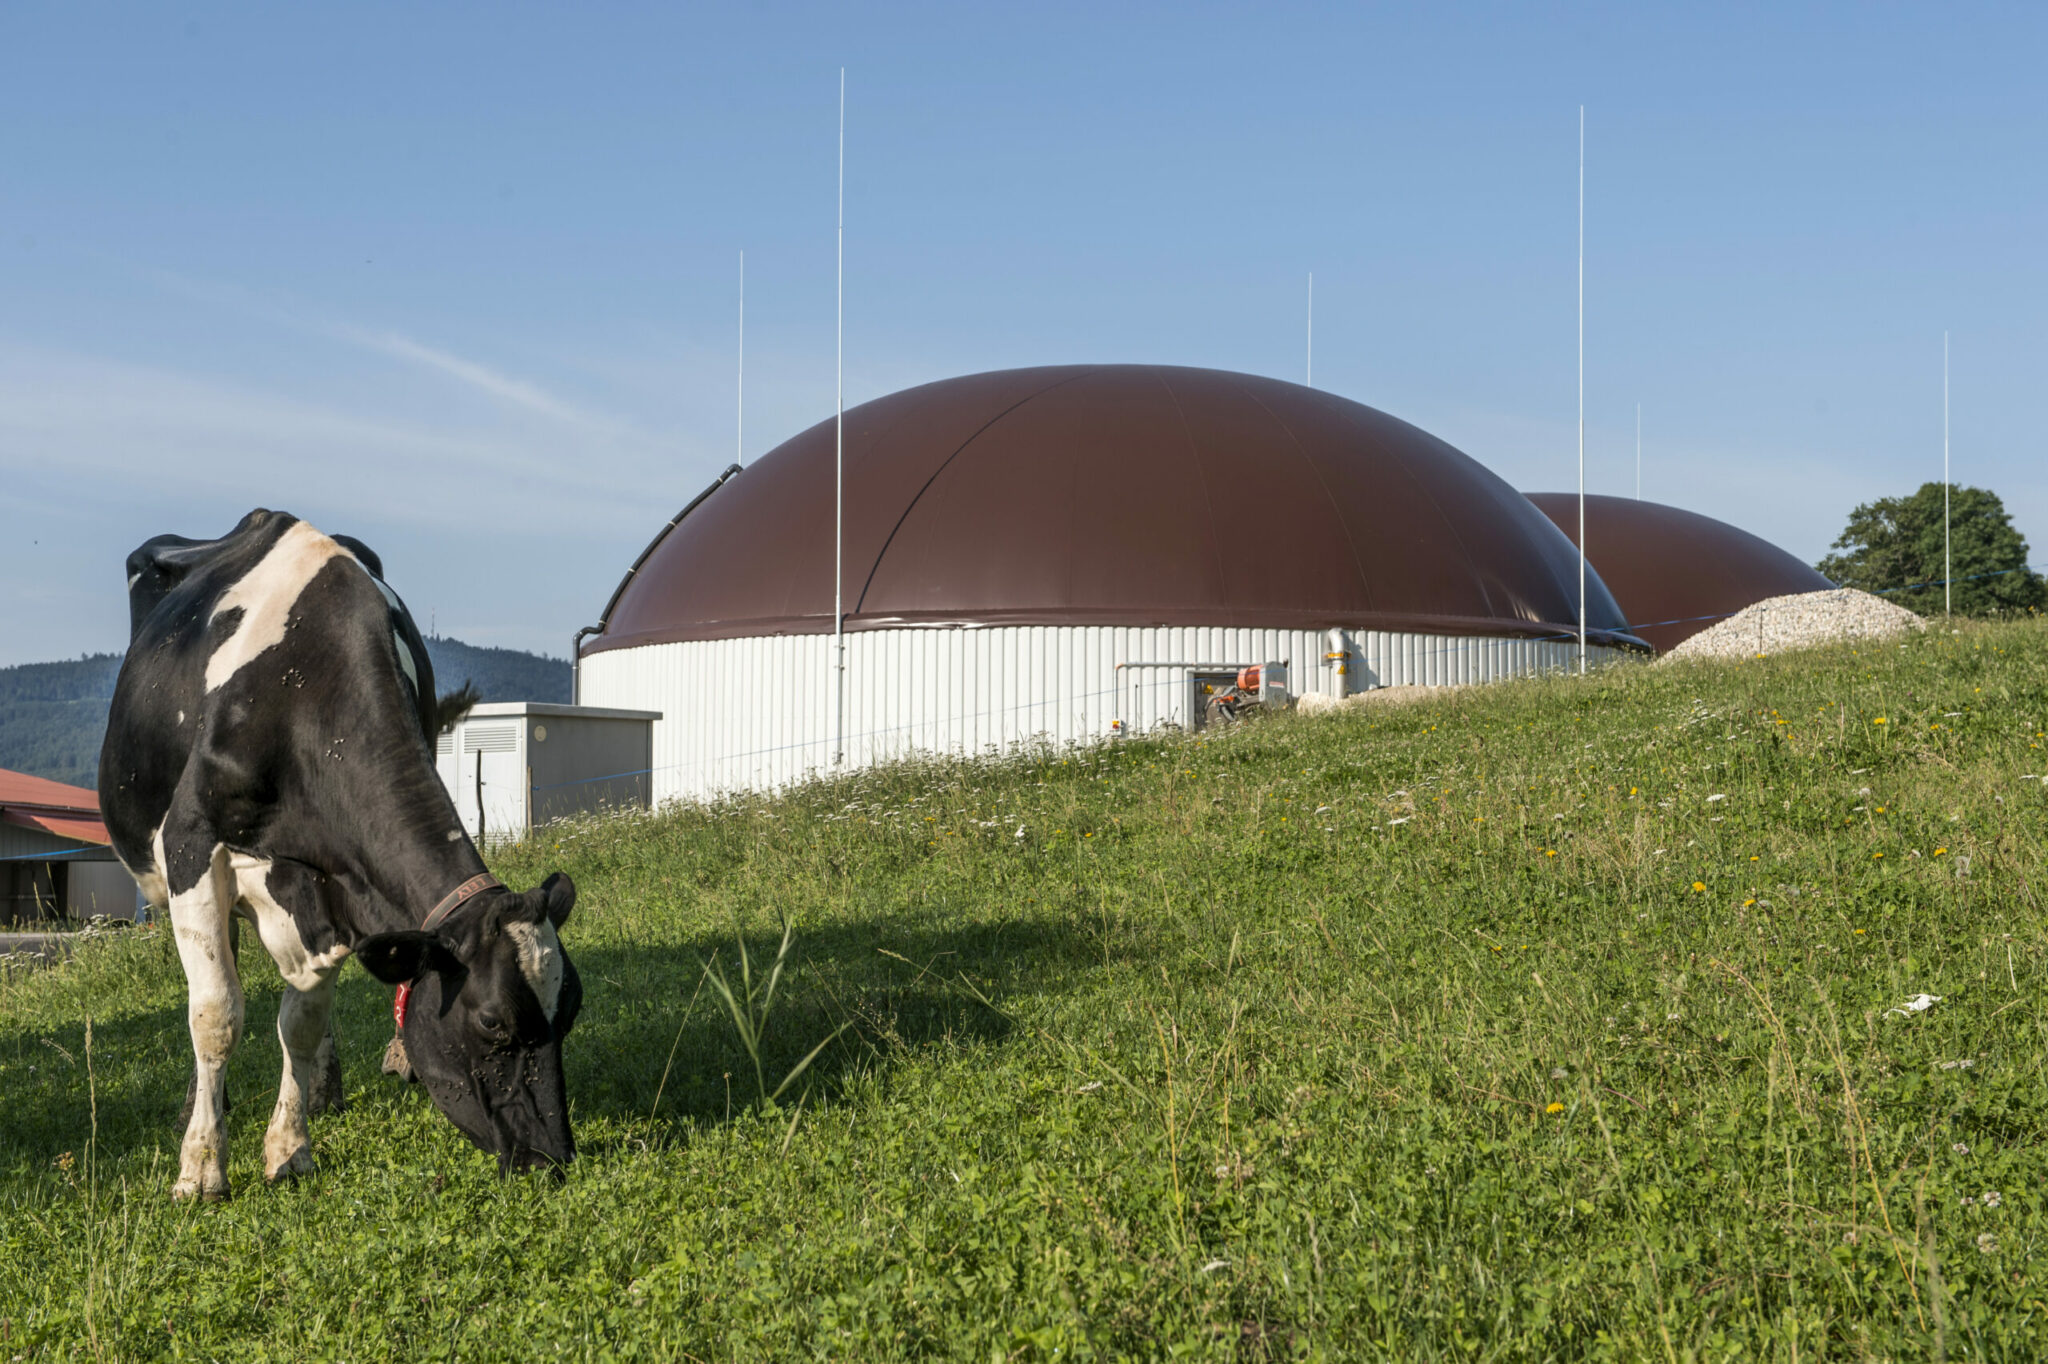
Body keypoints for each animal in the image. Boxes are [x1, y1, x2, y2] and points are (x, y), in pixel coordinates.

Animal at [101, 507, 585, 1187]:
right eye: (491, 1021)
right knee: (210, 983)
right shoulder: (191, 843)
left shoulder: (333, 882)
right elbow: (216, 1013)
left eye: (572, 1010)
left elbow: (301, 1024)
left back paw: (323, 1090)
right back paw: (202, 1106)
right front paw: (201, 1168)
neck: (307, 686)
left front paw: (290, 1147)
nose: (550, 1159)